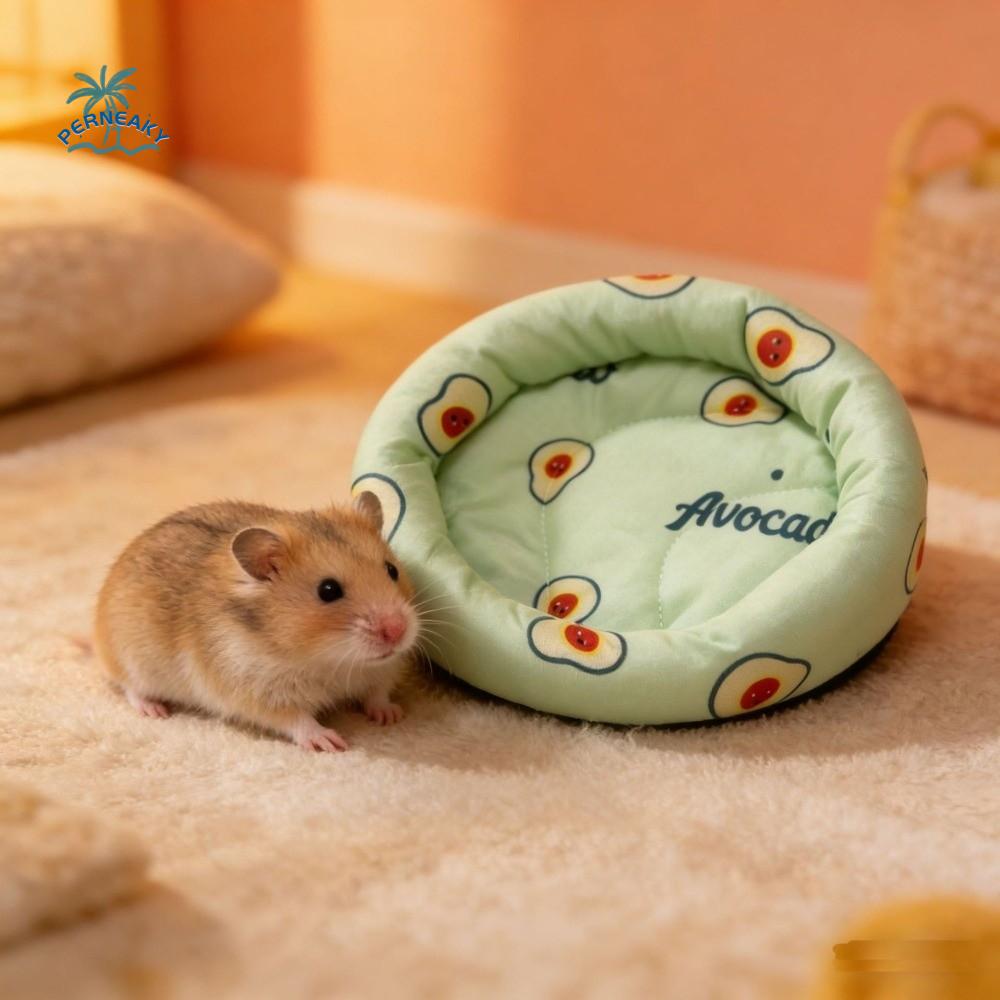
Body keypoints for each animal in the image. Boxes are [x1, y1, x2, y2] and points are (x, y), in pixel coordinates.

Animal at [94, 492, 420, 752]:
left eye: (392, 570)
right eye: (328, 590)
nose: (397, 630)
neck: (329, 660)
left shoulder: (381, 672)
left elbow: (377, 694)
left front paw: (393, 716)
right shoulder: (257, 691)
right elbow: (297, 719)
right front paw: (330, 742)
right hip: (132, 661)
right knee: (130, 687)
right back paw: (155, 710)